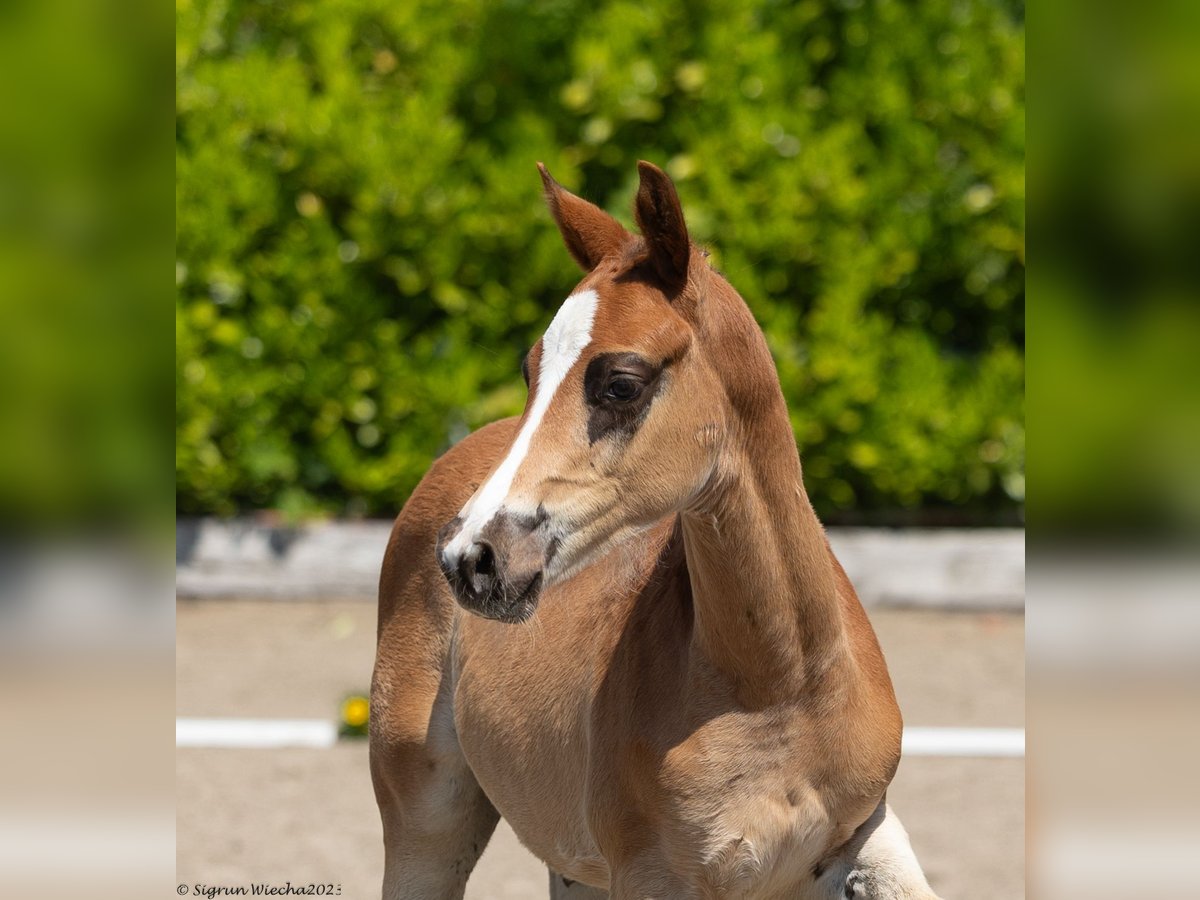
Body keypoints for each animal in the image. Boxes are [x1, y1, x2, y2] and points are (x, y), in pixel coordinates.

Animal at [369, 162, 940, 900]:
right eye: (530, 371)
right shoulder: (653, 875)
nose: (472, 556)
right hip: (426, 815)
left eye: (620, 383)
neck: (779, 687)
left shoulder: (861, 832)